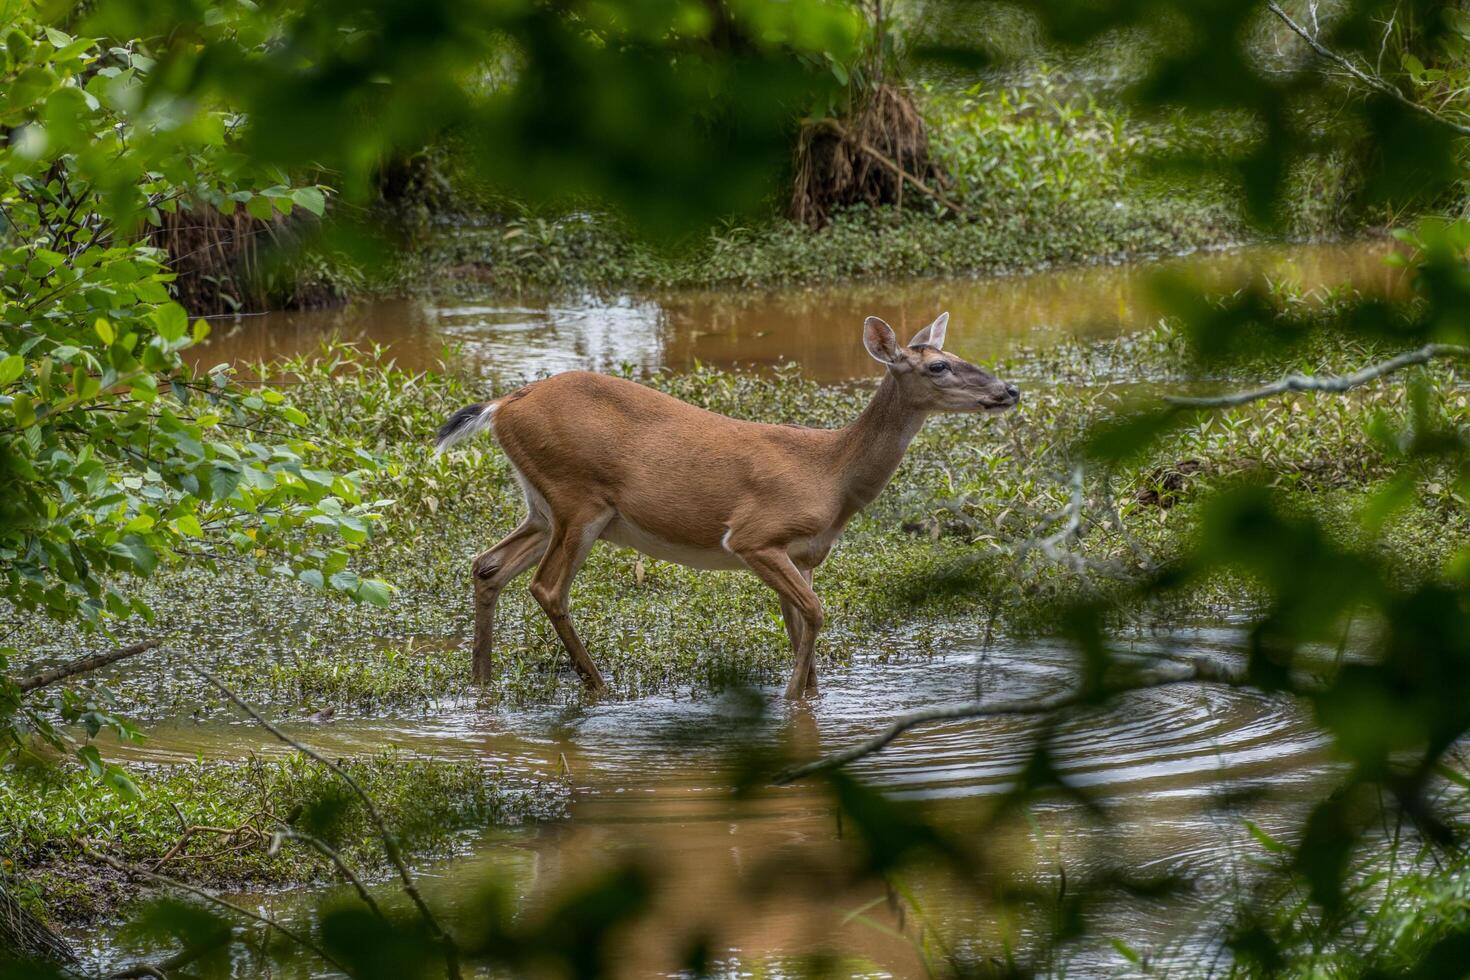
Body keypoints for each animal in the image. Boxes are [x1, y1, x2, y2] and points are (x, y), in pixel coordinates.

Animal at [429, 310, 1017, 702]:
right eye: (939, 367)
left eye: (957, 356)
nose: (1009, 389)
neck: (831, 474)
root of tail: (503, 406)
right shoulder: (756, 536)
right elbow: (816, 614)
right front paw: (788, 702)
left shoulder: (802, 554)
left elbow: (801, 626)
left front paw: (810, 702)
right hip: (578, 499)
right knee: (547, 587)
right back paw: (600, 687)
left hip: (542, 506)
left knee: (488, 565)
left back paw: (481, 687)